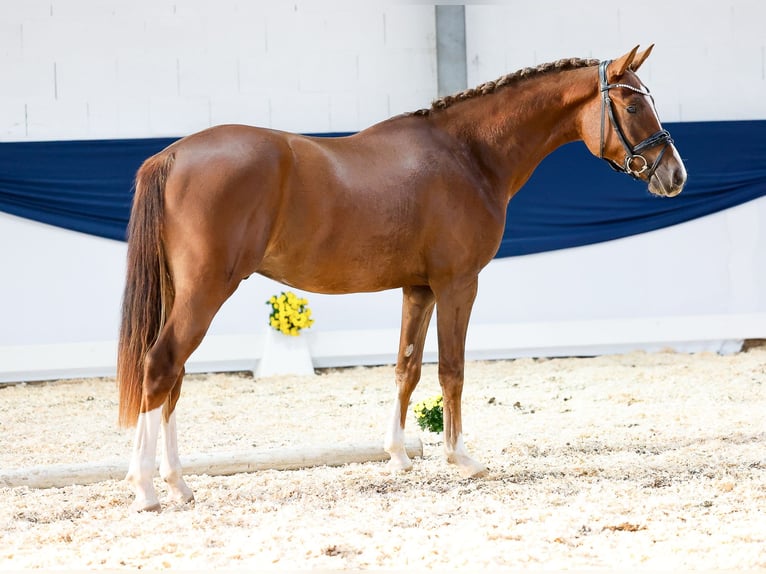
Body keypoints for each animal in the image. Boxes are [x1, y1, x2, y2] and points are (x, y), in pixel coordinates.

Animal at [118, 46, 688, 512]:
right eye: (632, 107)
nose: (675, 175)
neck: (469, 155)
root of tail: (172, 154)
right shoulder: (458, 284)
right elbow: (452, 370)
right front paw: (461, 457)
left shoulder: (419, 289)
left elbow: (406, 368)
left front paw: (398, 456)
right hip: (207, 290)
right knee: (160, 366)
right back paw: (146, 488)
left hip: (183, 292)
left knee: (174, 377)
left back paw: (178, 483)